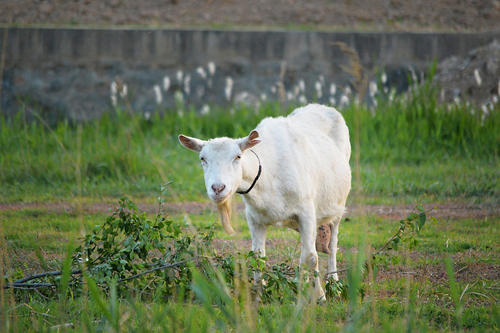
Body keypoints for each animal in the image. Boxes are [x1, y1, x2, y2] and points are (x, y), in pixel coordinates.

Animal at [180, 102, 352, 300]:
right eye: (203, 159)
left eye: (238, 157)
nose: (217, 188)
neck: (269, 173)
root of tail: (321, 106)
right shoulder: (255, 219)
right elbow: (258, 256)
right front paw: (258, 294)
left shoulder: (306, 212)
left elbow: (310, 257)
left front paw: (319, 297)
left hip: (338, 205)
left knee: (332, 244)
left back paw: (333, 282)